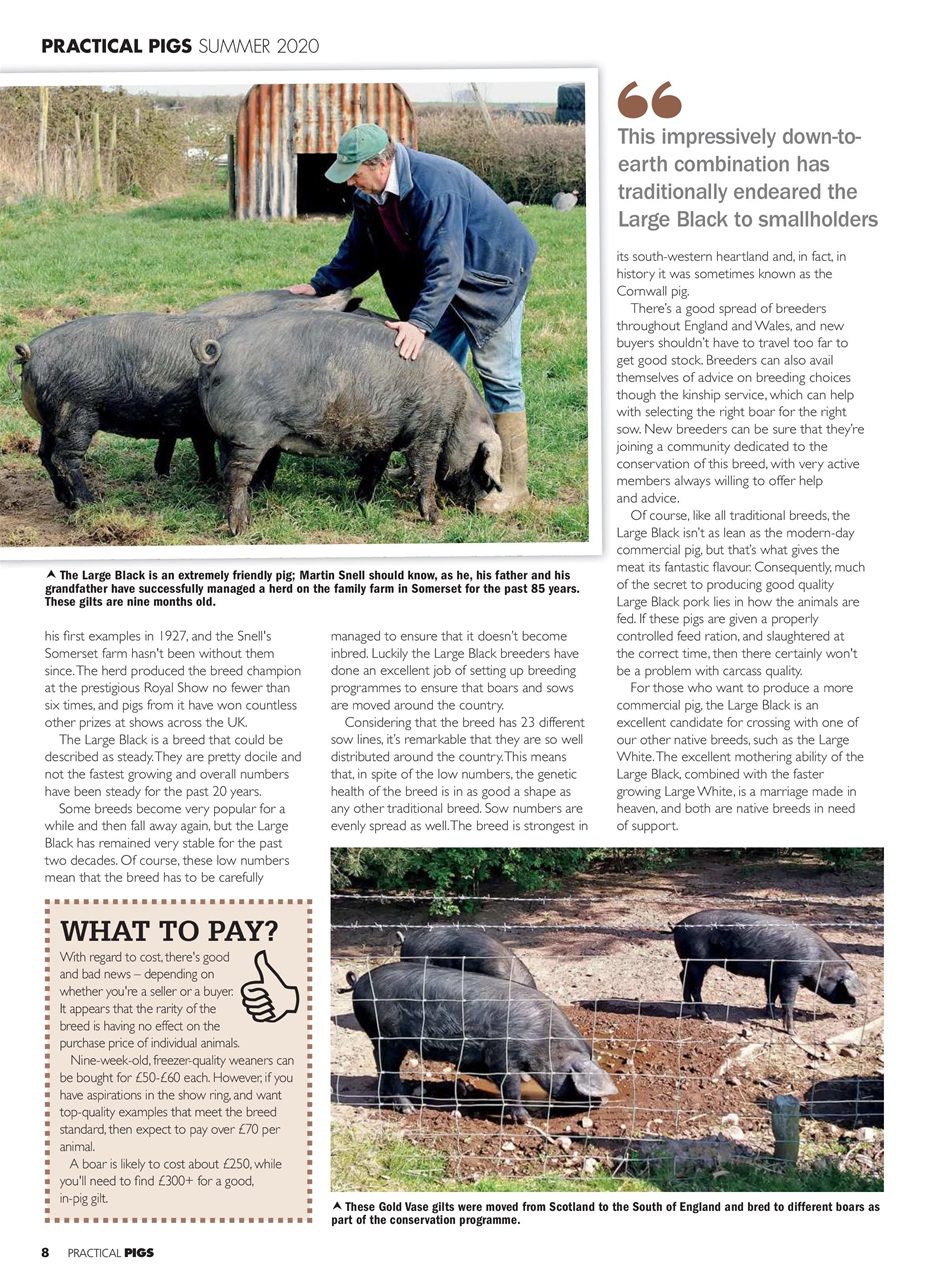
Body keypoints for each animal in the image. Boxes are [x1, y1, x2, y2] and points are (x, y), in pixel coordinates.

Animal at [7, 288, 357, 507]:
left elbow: (205, 450)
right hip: (76, 414)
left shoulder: (200, 422)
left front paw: (209, 482)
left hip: (50, 420)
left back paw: (65, 502)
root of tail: (31, 352)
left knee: (44, 455)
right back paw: (88, 503)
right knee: (64, 459)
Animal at [192, 309, 503, 535]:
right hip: (249, 434)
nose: (477, 508)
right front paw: (435, 519)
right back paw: (240, 528)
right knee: (237, 477)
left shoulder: (384, 436)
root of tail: (219, 353)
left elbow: (375, 468)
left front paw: (362, 501)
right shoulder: (428, 429)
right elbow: (424, 471)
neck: (460, 412)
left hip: (234, 437)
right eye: (481, 467)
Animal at [351, 962, 616, 1123]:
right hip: (389, 1038)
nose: (601, 1102)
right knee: (389, 1068)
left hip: (381, 1039)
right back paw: (408, 1108)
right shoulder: (502, 1053)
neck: (541, 1036)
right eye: (574, 1079)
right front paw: (526, 1120)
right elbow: (511, 1086)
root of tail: (360, 983)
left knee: (380, 1063)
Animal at [672, 909, 864, 1032]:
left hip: (688, 962)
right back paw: (705, 1015)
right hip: (698, 961)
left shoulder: (772, 974)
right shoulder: (790, 976)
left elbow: (771, 994)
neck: (818, 961)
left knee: (682, 976)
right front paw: (792, 1031)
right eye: (842, 984)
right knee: (695, 986)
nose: (856, 1002)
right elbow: (787, 1000)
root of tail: (678, 925)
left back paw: (688, 1006)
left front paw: (771, 1015)